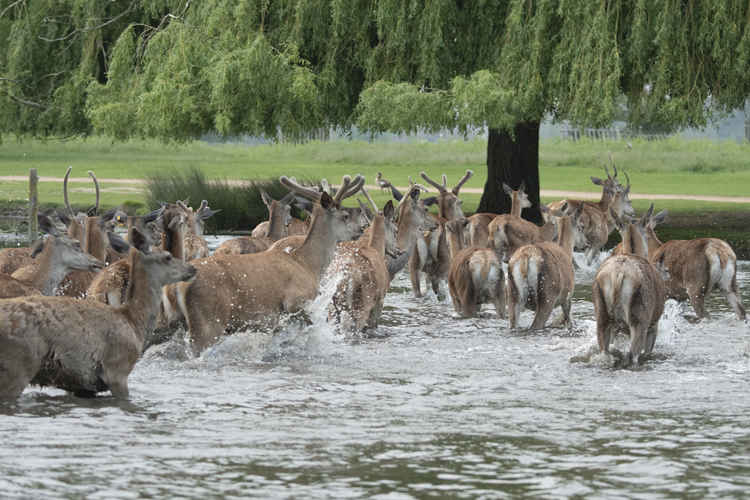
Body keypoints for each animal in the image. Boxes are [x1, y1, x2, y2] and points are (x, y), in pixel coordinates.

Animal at [0, 229, 197, 400]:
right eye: (167, 256)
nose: (192, 268)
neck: (134, 322)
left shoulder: (82, 385)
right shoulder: (117, 369)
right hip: (19, 366)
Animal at [174, 174, 368, 354]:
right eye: (345, 215)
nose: (361, 229)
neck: (308, 265)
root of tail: (179, 287)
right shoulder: (296, 301)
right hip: (208, 320)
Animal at [508, 201, 584, 330]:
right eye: (580, 227)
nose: (585, 243)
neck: (566, 251)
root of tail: (526, 257)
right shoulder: (568, 296)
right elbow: (568, 320)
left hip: (513, 294)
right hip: (548, 293)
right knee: (536, 325)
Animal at [592, 205, 668, 366]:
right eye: (650, 230)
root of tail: (618, 274)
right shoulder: (654, 325)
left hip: (602, 314)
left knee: (604, 351)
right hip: (639, 318)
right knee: (633, 355)